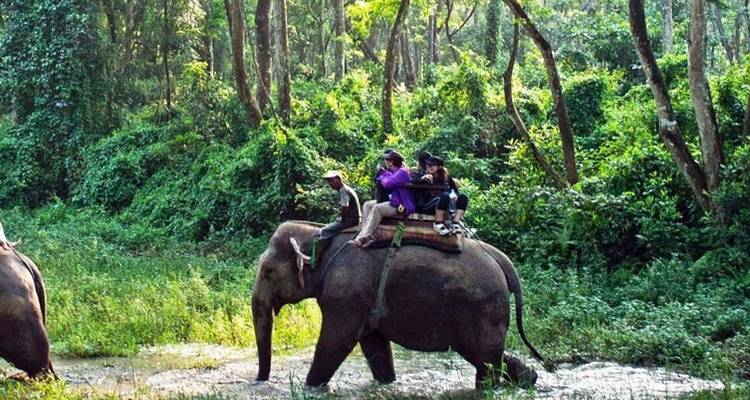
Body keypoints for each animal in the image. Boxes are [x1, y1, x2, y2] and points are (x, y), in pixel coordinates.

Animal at [251, 221, 552, 390]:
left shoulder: (345, 293)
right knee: (488, 354)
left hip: (482, 306)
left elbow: (337, 340)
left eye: (268, 271)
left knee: (484, 358)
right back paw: (530, 379)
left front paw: (310, 387)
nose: (260, 381)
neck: (319, 234)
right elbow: (373, 342)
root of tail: (503, 261)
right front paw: (386, 383)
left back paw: (488, 390)